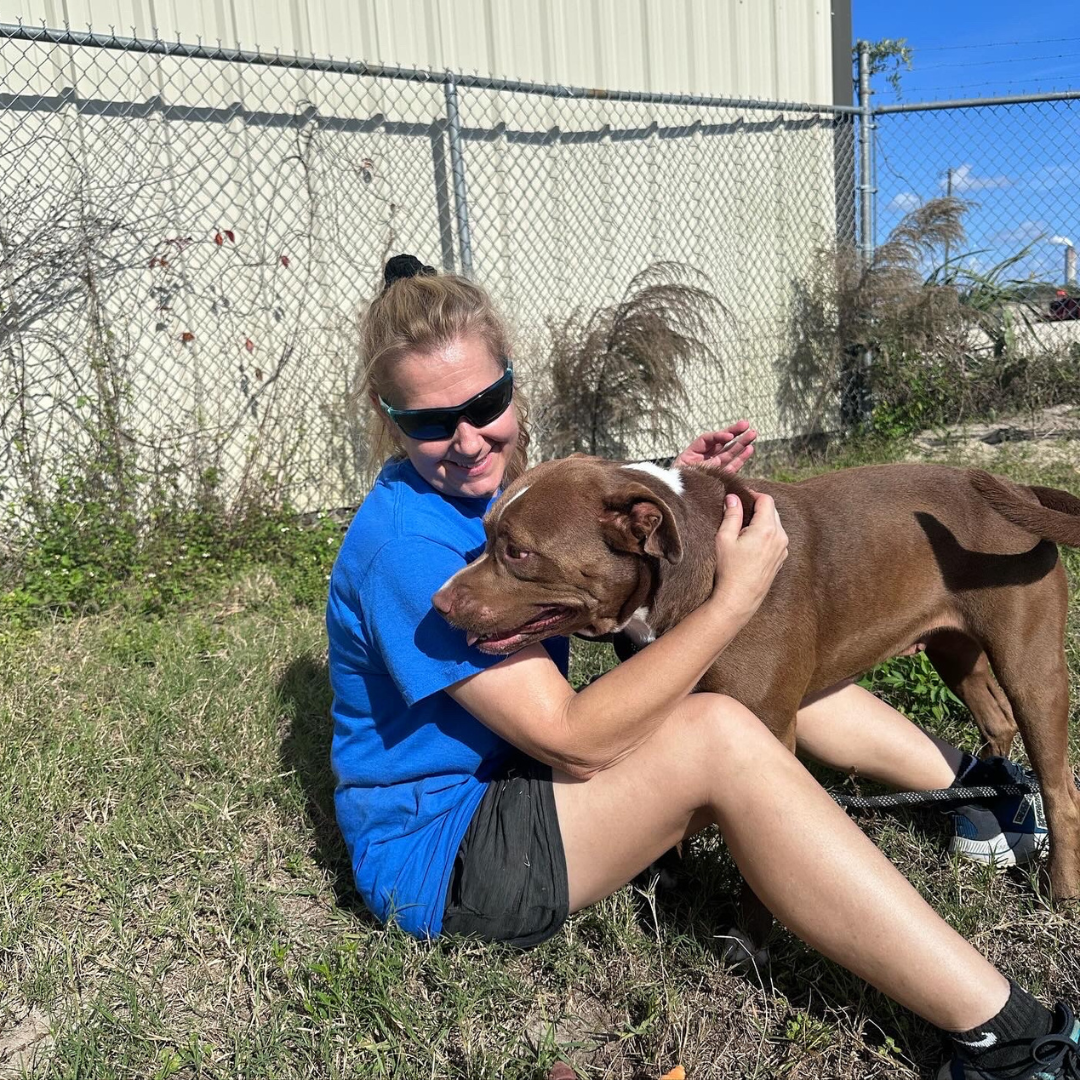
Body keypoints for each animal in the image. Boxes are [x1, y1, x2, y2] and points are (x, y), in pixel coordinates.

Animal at [434, 455, 1080, 928]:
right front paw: (668, 882)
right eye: (483, 536)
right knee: (995, 720)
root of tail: (1017, 487)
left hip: (1031, 666)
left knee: (1059, 785)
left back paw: (1060, 892)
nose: (437, 603)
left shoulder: (766, 727)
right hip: (955, 651)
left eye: (518, 551)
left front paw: (751, 940)